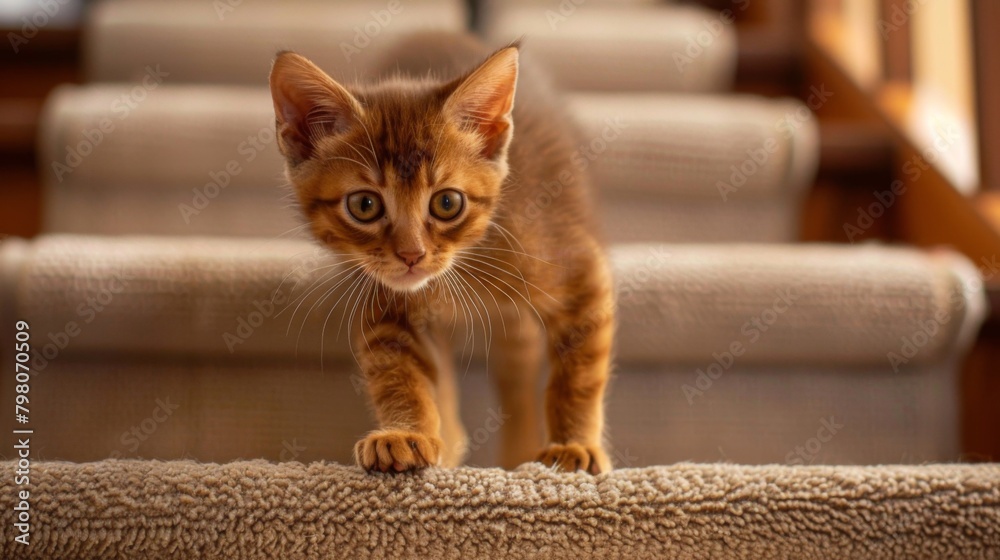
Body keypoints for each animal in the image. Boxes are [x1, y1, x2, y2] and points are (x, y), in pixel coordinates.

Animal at [270, 34, 612, 472]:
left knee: (518, 365)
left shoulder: (578, 270)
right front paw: (407, 434)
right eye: (364, 205)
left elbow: (580, 373)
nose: (411, 255)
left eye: (447, 203)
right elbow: (398, 373)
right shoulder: (381, 298)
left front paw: (573, 444)